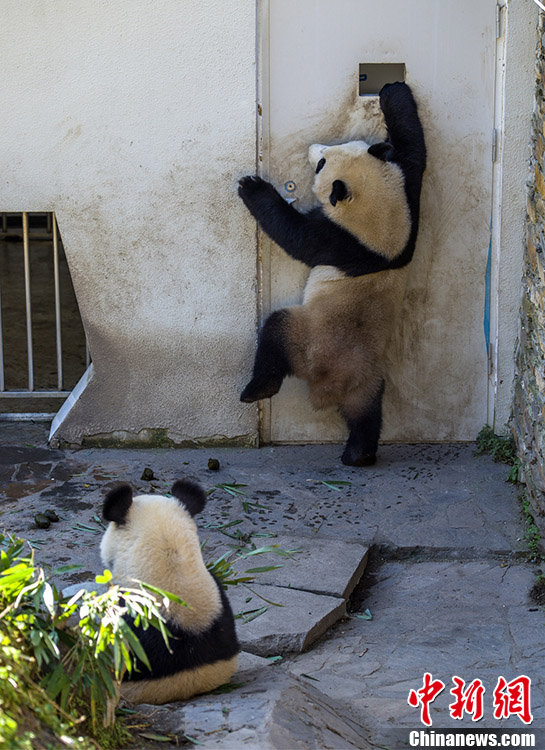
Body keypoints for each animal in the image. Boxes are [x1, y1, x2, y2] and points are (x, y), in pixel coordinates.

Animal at [238, 83, 424, 470]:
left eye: (323, 162)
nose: (312, 148)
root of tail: (327, 385)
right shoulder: (409, 204)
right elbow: (414, 148)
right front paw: (394, 92)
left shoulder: (338, 239)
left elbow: (296, 237)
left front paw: (252, 188)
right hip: (368, 379)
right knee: (368, 415)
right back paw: (359, 454)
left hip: (304, 336)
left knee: (274, 334)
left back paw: (257, 388)